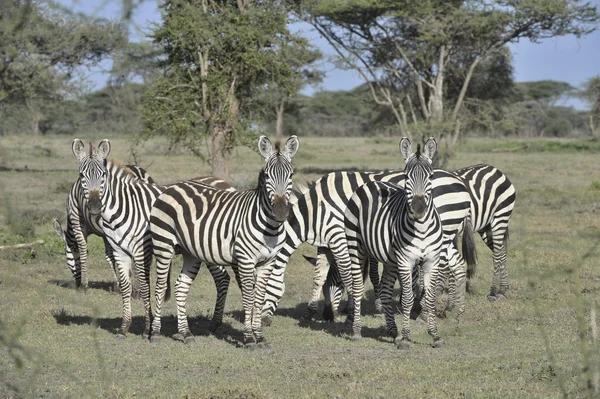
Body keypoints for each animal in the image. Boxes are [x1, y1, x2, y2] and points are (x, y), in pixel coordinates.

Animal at [52, 164, 155, 292]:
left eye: (67, 255)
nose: (77, 285)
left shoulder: (80, 224)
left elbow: (94, 253)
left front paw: (116, 284)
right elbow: (111, 256)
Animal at [70, 139, 230, 340]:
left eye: (103, 175)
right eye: (81, 175)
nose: (94, 206)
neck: (124, 206)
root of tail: (227, 185)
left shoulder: (142, 249)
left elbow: (146, 287)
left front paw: (148, 328)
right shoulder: (119, 250)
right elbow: (125, 287)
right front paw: (124, 328)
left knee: (223, 278)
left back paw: (216, 323)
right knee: (224, 278)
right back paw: (215, 324)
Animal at [150, 136, 300, 348]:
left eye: (291, 174)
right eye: (267, 175)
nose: (280, 212)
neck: (269, 228)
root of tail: (173, 187)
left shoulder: (268, 262)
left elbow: (259, 297)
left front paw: (260, 337)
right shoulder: (245, 260)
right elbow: (248, 297)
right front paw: (249, 338)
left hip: (190, 253)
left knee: (180, 287)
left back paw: (186, 333)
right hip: (163, 245)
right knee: (161, 286)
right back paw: (155, 333)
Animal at [260, 155, 476, 326]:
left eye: (264, 288)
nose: (328, 316)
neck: (316, 209)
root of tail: (458, 181)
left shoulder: (340, 237)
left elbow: (350, 274)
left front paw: (353, 311)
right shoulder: (326, 244)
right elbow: (320, 276)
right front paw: (310, 312)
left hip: (441, 233)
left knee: (445, 267)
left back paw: (425, 312)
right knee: (458, 264)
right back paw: (453, 309)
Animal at [342, 138, 474, 350]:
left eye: (430, 176)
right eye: (405, 176)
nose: (419, 208)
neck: (421, 228)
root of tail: (370, 182)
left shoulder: (431, 261)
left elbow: (429, 296)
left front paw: (434, 335)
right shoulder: (405, 261)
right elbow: (407, 299)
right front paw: (405, 338)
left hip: (392, 258)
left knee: (386, 291)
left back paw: (393, 331)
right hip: (356, 245)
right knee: (357, 285)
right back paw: (356, 331)